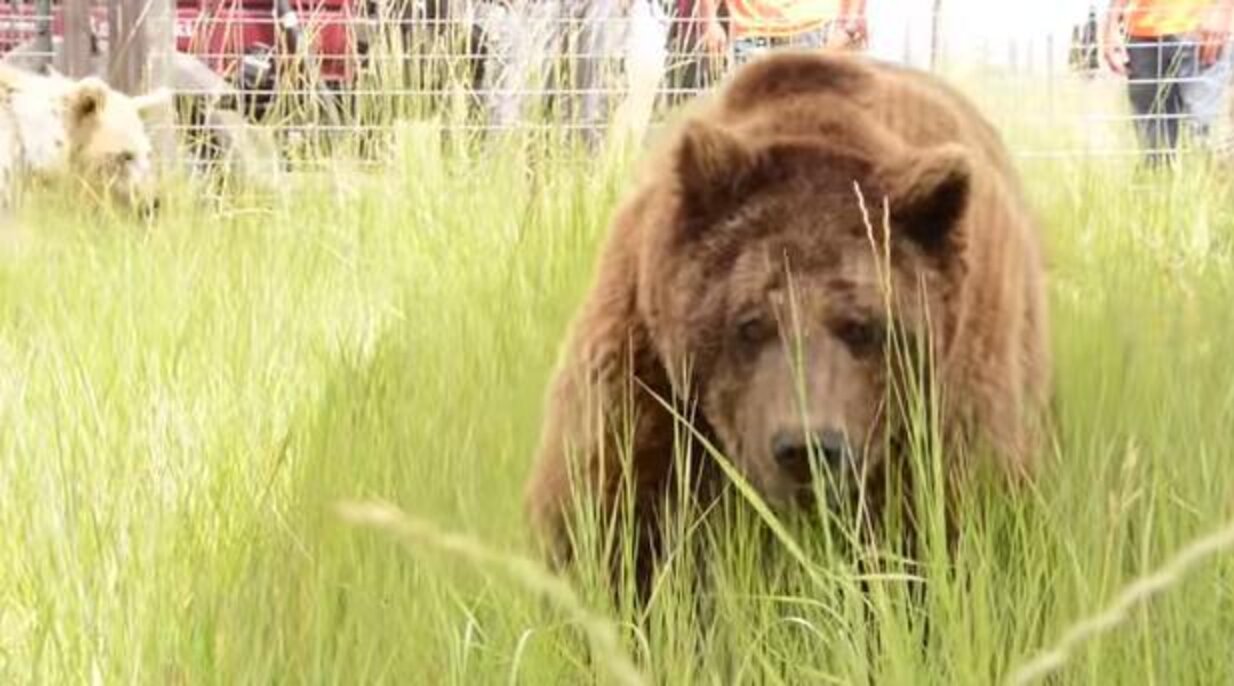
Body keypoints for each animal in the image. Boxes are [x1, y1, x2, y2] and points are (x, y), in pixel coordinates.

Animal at [523, 50, 1052, 591]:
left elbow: (948, 534)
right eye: (750, 322)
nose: (806, 447)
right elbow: (608, 520)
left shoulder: (943, 405)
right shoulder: (650, 380)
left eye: (862, 326)